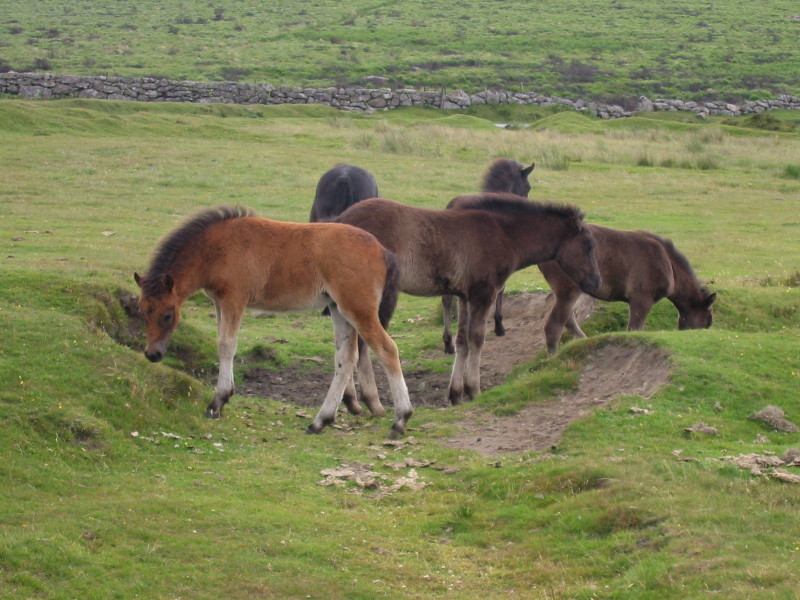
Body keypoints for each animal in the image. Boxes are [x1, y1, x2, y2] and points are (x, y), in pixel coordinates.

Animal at [133, 206, 413, 436]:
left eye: (168, 314)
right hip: (338, 308)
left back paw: (401, 418)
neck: (217, 247)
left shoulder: (234, 299)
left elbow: (227, 345)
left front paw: (218, 401)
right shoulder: (219, 301)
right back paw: (320, 421)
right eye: (142, 312)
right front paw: (224, 396)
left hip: (357, 308)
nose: (152, 354)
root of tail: (381, 250)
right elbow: (222, 343)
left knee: (387, 349)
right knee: (346, 358)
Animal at [336, 194, 600, 405]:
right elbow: (477, 338)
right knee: (362, 343)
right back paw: (370, 400)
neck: (503, 234)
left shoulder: (464, 296)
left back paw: (350, 401)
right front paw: (474, 389)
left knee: (347, 343)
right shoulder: (483, 293)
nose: (596, 282)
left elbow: (462, 341)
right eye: (589, 246)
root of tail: (340, 220)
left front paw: (455, 394)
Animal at [540, 224, 716, 353]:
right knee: (554, 326)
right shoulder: (642, 298)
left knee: (565, 317)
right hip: (569, 290)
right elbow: (635, 328)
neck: (668, 264)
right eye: (708, 322)